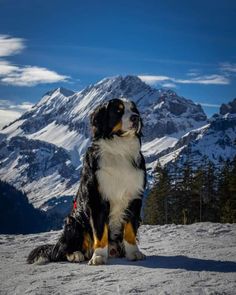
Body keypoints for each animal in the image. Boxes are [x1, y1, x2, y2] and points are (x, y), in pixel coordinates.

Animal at [27, 98, 146, 268]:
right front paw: (99, 257)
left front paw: (134, 253)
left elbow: (129, 230)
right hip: (73, 222)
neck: (120, 149)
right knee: (63, 251)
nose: (136, 118)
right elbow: (100, 234)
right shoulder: (97, 201)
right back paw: (76, 254)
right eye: (118, 111)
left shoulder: (134, 197)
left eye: (134, 109)